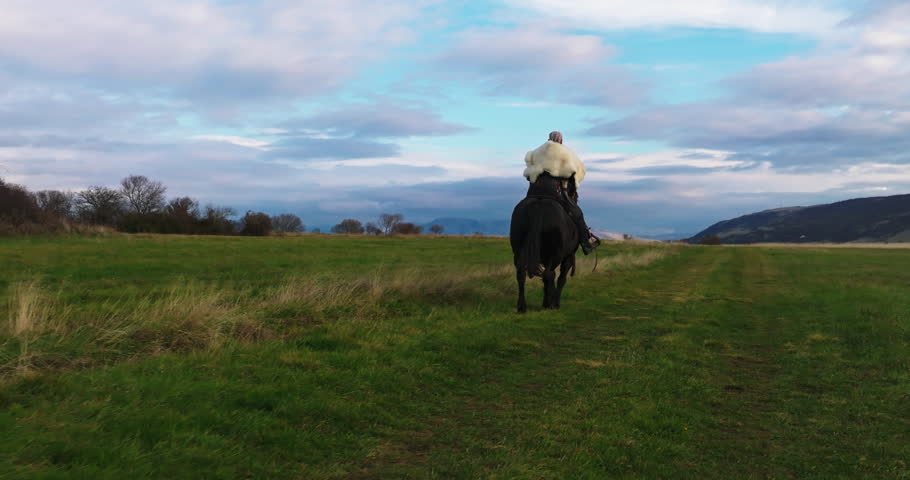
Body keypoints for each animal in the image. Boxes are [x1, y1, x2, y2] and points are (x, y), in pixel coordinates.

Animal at [509, 175, 579, 313]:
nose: (574, 199)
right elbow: (561, 279)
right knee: (549, 274)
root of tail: (539, 205)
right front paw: (555, 303)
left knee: (521, 274)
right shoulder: (568, 257)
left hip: (518, 251)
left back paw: (522, 307)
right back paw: (549, 303)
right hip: (554, 255)